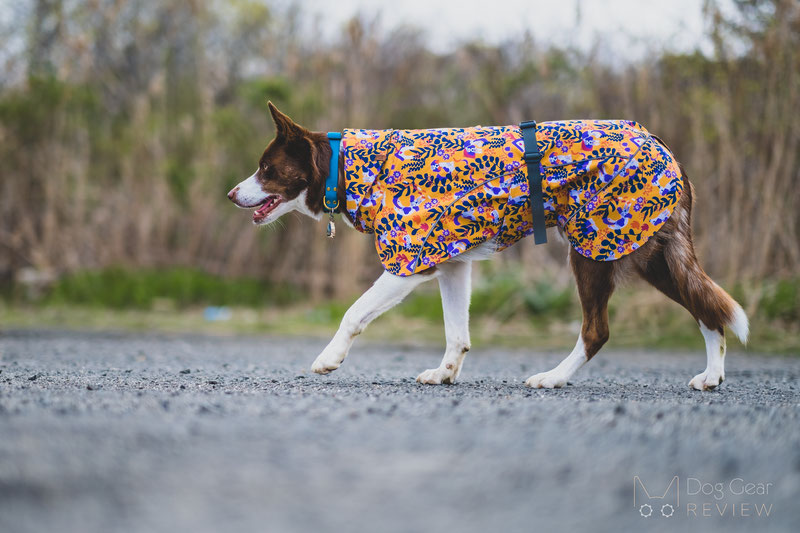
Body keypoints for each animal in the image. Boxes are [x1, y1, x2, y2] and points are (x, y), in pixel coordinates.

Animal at [227, 102, 752, 388]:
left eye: (267, 170)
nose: (232, 194)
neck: (352, 165)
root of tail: (661, 144)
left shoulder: (407, 263)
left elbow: (353, 314)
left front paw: (329, 359)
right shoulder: (452, 263)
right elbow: (456, 333)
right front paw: (444, 374)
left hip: (595, 249)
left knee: (597, 330)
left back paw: (553, 377)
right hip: (652, 254)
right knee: (708, 309)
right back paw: (711, 377)